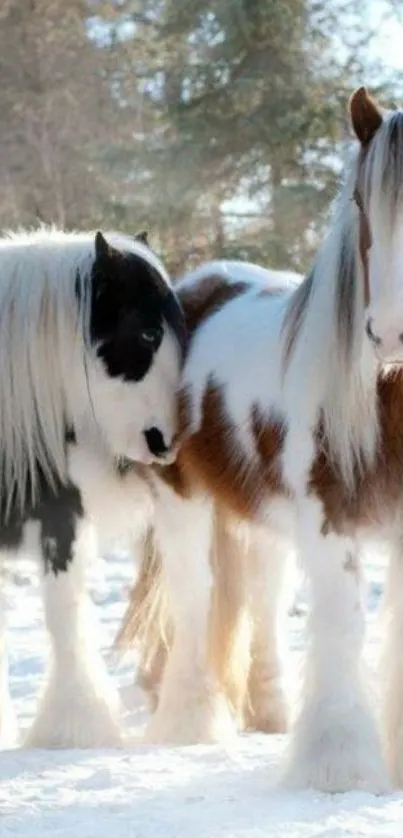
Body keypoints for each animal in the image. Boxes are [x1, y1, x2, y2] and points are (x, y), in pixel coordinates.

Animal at [113, 85, 403, 796]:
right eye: (362, 202)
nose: (387, 333)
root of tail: (196, 285)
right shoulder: (330, 525)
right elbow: (341, 631)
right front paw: (339, 770)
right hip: (183, 506)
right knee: (194, 601)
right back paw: (190, 722)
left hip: (263, 520)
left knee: (264, 597)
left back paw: (269, 714)